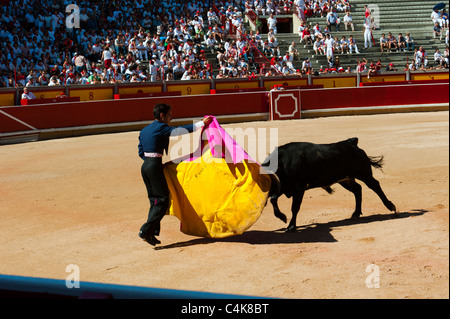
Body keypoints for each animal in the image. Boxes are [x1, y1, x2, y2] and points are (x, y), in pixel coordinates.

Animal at [262, 138, 396, 232]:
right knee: (357, 189)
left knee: (375, 186)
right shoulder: (284, 187)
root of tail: (351, 143)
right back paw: (356, 213)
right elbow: (273, 199)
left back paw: (390, 206)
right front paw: (283, 218)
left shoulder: (299, 188)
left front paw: (291, 226)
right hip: (345, 180)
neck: (283, 163)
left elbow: (295, 207)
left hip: (364, 174)